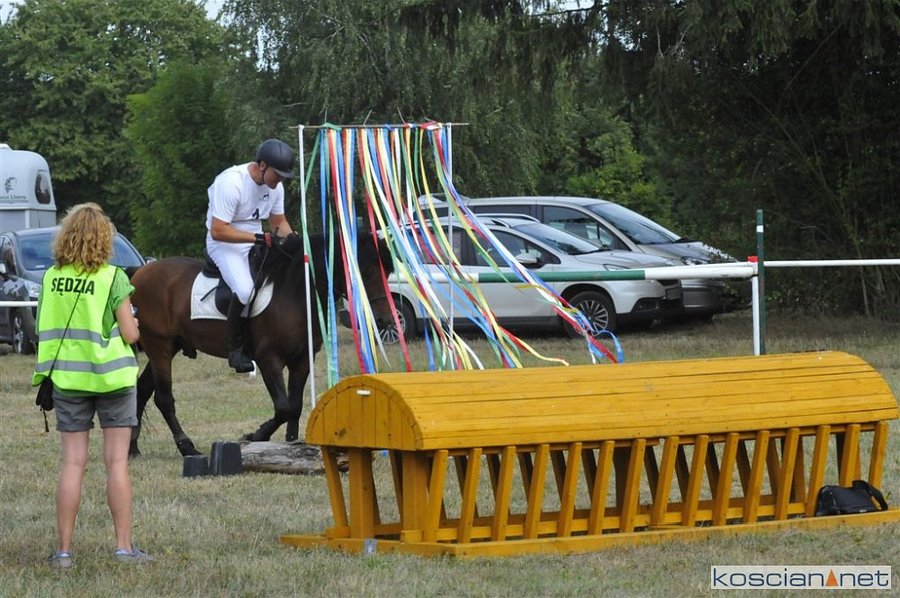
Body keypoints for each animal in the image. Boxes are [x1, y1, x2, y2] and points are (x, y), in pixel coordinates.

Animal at [128, 232, 395, 457]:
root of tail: (140, 273)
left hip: (167, 347)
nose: (385, 320)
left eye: (388, 272)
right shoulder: (269, 359)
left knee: (142, 390)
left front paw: (291, 442)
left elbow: (295, 405)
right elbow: (284, 406)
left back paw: (132, 448)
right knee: (163, 398)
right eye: (364, 272)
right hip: (159, 347)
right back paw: (186, 446)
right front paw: (255, 435)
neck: (295, 293)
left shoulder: (302, 359)